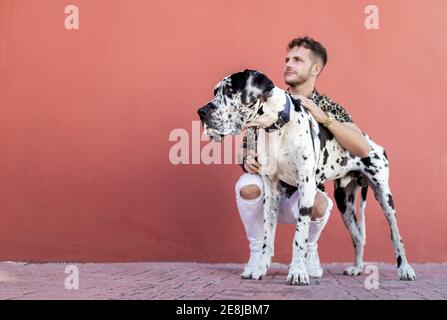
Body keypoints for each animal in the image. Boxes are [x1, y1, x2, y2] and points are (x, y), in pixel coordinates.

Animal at [198, 70, 418, 284]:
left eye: (230, 89)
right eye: (215, 91)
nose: (201, 112)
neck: (278, 126)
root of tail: (370, 141)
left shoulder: (306, 188)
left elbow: (300, 236)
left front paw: (297, 272)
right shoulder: (270, 192)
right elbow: (267, 238)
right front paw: (260, 269)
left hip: (384, 197)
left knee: (396, 235)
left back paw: (405, 269)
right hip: (344, 204)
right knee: (357, 237)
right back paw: (357, 268)